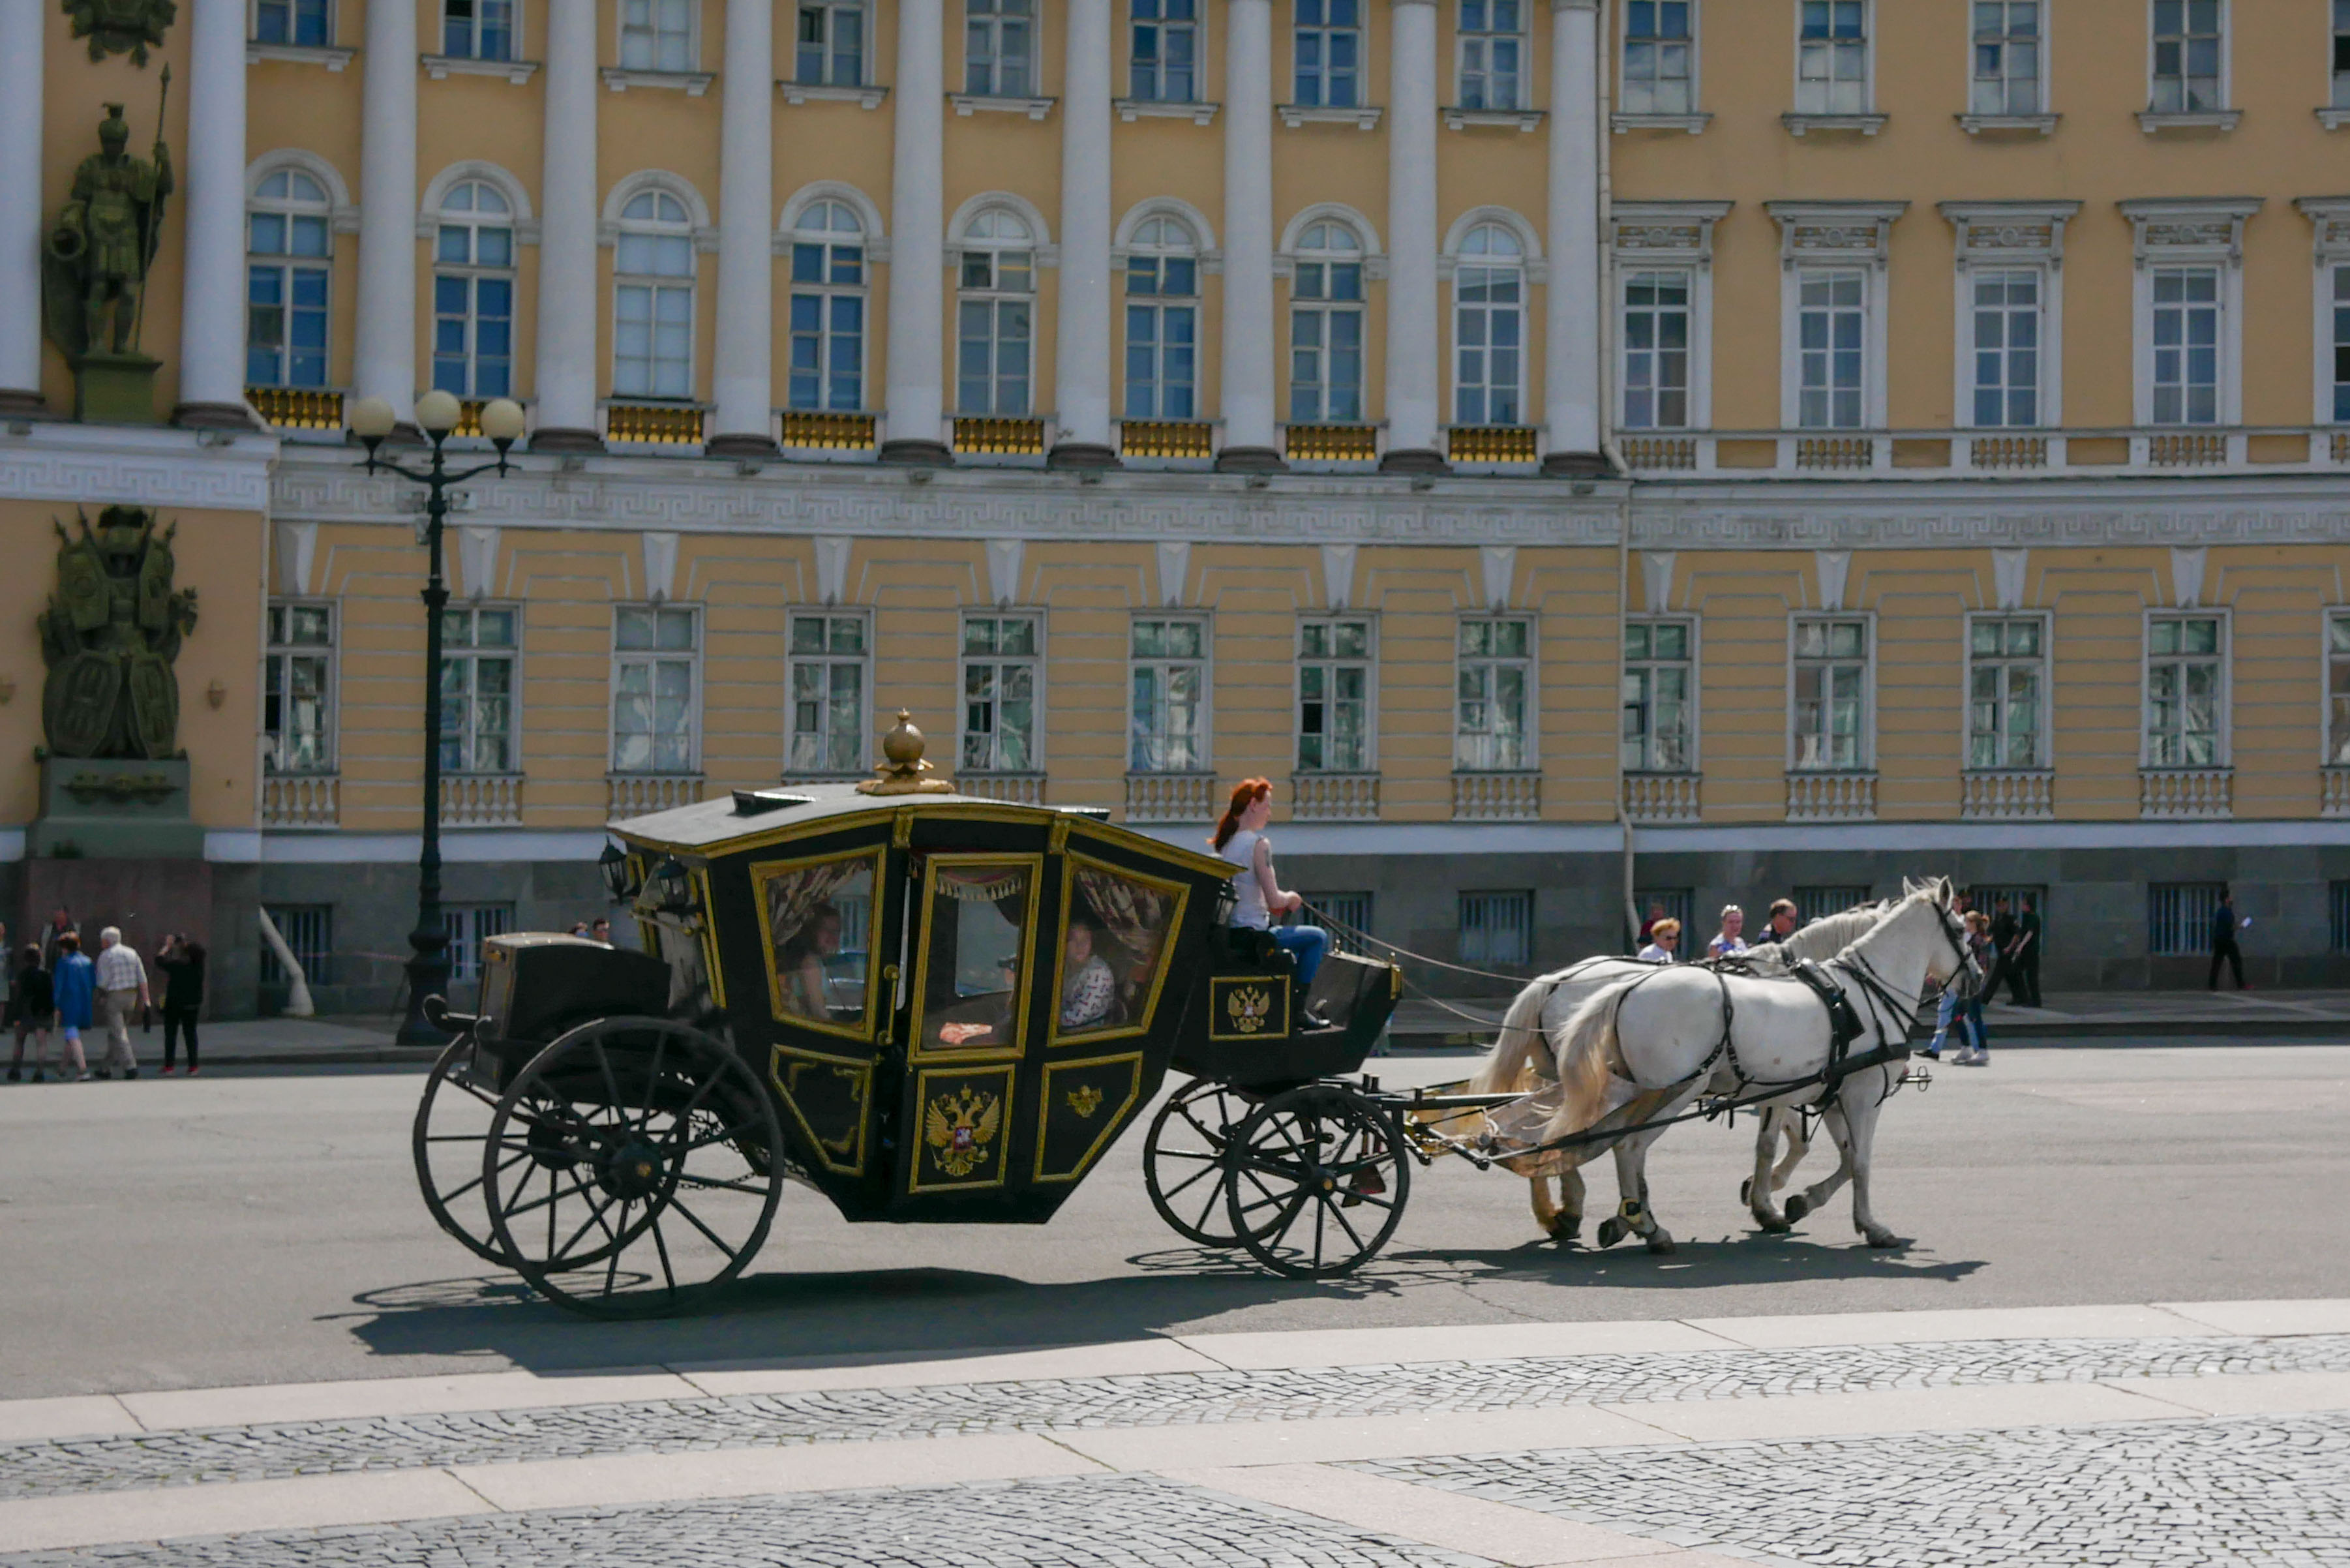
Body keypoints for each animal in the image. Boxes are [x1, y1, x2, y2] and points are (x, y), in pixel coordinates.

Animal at [1466, 903, 1889, 1241]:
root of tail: (1553, 982)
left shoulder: (1797, 1085)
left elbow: (1811, 1148)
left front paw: (1769, 1198)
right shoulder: (1782, 1085)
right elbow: (1787, 1146)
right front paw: (1769, 1196)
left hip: (1559, 1079)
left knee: (1548, 1132)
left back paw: (1563, 1212)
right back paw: (1585, 1212)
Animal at [1532, 888, 1974, 1259]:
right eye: (1959, 929)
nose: (1978, 977)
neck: (1858, 996)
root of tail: (1622, 989)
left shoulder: (1818, 1094)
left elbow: (1821, 1154)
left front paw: (1785, 1202)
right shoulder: (1862, 1095)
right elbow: (1860, 1161)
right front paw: (1870, 1226)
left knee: (1574, 1139)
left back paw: (1601, 1215)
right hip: (1671, 1093)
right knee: (1627, 1148)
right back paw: (1643, 1225)